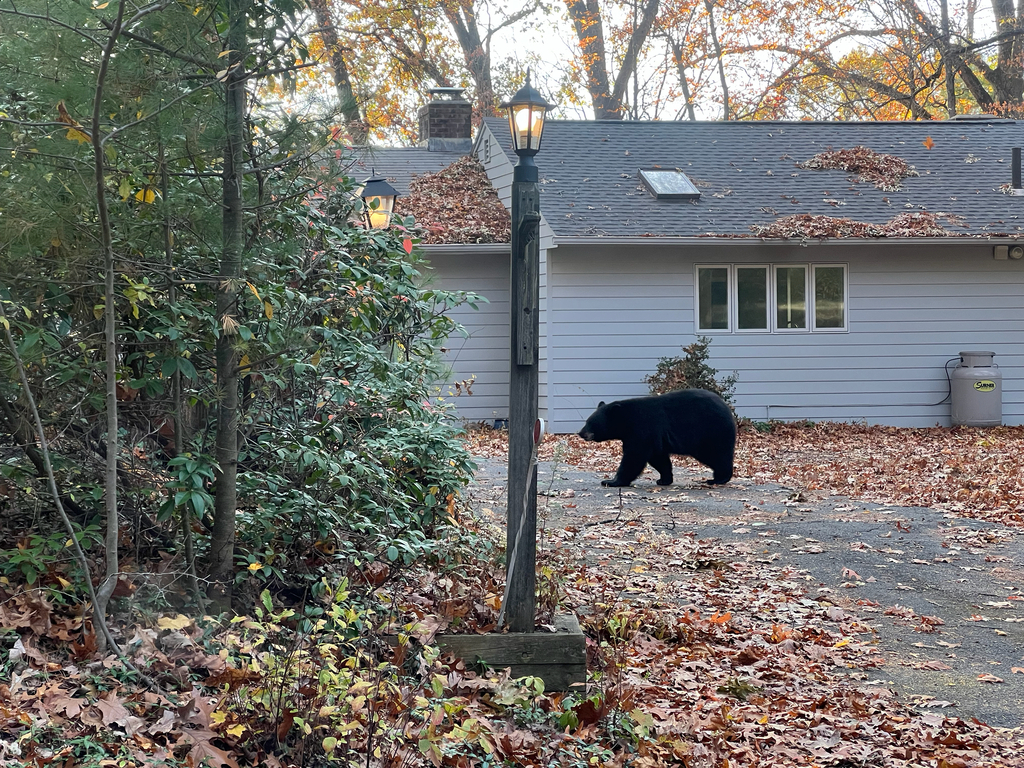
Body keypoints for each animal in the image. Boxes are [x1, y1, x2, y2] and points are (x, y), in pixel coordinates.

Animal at [577, 388, 736, 487]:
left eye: (591, 423)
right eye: (587, 421)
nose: (580, 433)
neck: (627, 421)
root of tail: (727, 409)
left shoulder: (642, 429)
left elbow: (634, 457)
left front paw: (611, 481)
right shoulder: (654, 438)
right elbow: (658, 458)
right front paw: (664, 479)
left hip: (710, 432)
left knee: (717, 455)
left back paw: (718, 478)